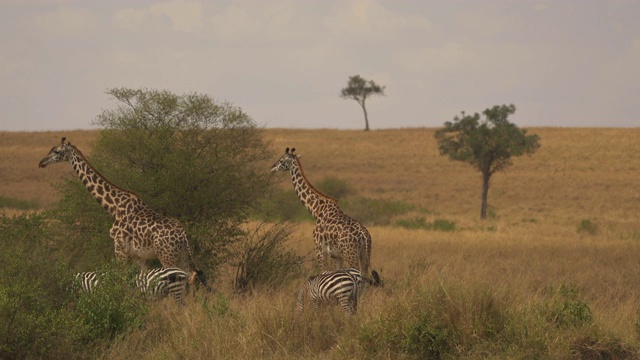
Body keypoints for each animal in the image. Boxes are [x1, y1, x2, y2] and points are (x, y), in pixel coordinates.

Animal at [39, 138, 205, 286]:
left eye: (57, 151)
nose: (41, 162)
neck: (114, 207)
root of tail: (182, 234)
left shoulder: (120, 249)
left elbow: (123, 278)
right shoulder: (138, 255)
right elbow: (142, 279)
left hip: (166, 255)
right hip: (182, 254)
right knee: (189, 275)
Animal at [268, 148, 376, 278]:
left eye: (281, 160)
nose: (272, 168)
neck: (316, 210)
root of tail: (364, 235)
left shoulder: (319, 249)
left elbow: (324, 272)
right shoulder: (336, 256)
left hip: (350, 254)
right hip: (364, 255)